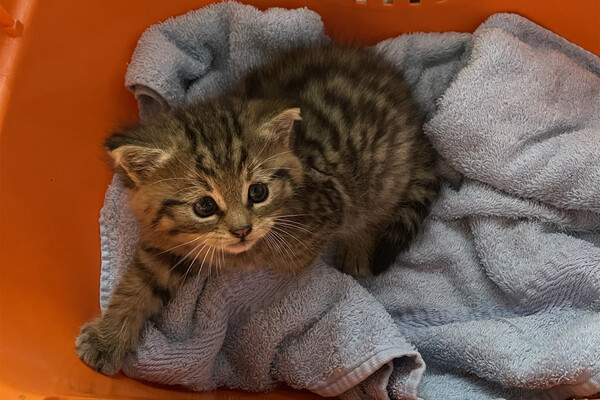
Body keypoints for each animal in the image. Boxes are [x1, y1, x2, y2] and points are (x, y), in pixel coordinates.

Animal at [76, 45, 439, 375]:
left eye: (258, 192)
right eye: (204, 206)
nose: (242, 230)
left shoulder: (327, 208)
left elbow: (292, 257)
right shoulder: (171, 239)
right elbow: (141, 281)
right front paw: (107, 339)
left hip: (384, 172)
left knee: (376, 205)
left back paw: (358, 246)